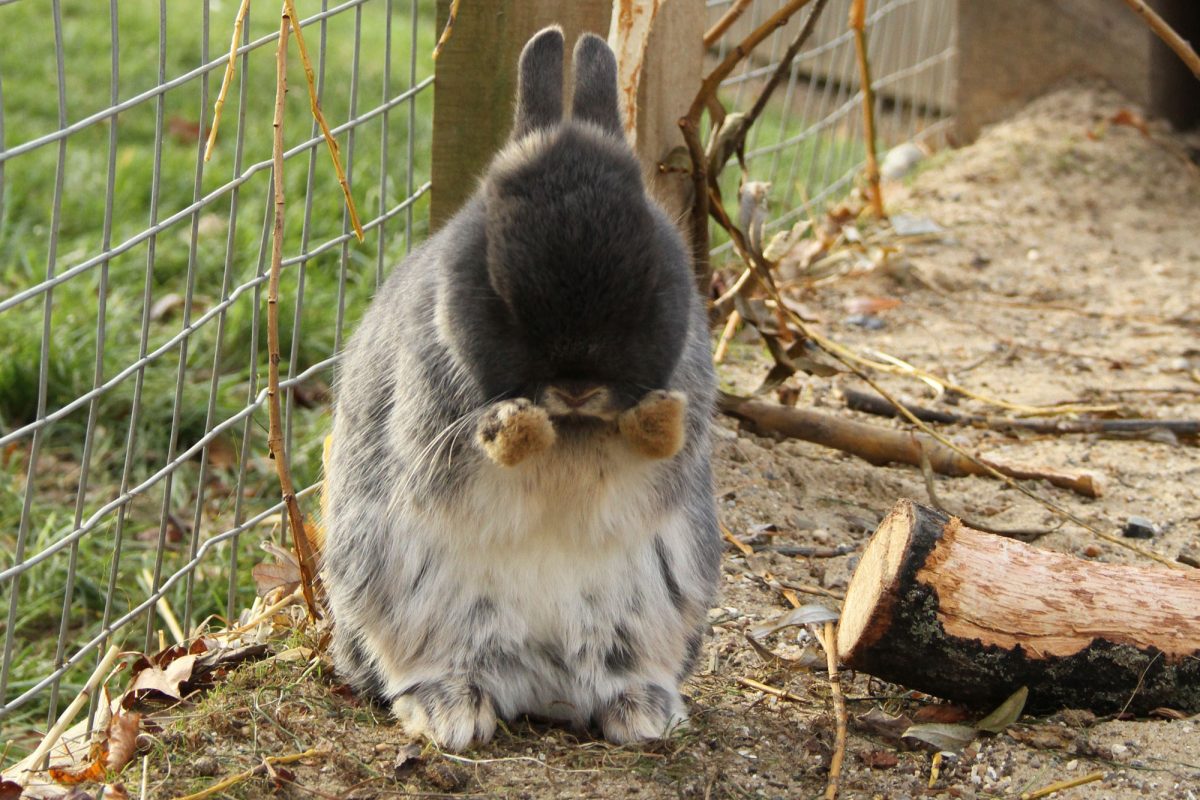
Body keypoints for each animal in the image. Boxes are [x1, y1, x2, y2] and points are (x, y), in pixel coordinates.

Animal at [321, 26, 720, 752]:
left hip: (653, 608)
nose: (578, 386)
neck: (575, 426)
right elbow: (484, 442)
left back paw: (642, 715)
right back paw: (451, 714)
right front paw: (519, 428)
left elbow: (660, 444)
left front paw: (656, 420)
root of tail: (542, 693)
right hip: (406, 598)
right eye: (497, 282)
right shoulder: (436, 423)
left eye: (653, 271)